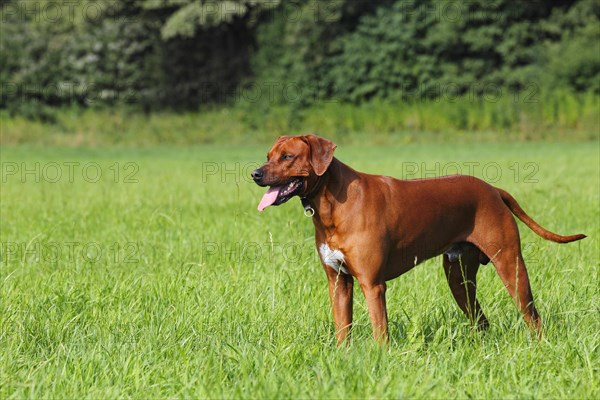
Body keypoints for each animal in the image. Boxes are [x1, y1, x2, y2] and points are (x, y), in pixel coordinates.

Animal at [253, 136, 584, 342]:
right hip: (458, 277)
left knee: (533, 317)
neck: (332, 204)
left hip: (510, 265)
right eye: (268, 156)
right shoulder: (338, 282)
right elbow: (342, 329)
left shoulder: (373, 284)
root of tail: (493, 189)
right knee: (481, 320)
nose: (255, 173)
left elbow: (380, 330)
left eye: (288, 156)